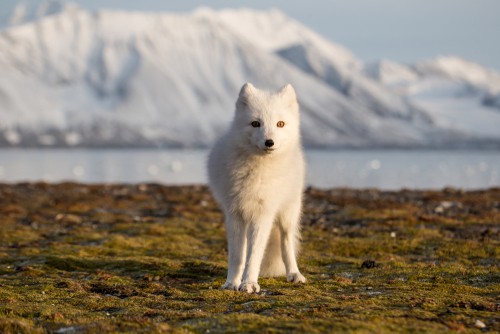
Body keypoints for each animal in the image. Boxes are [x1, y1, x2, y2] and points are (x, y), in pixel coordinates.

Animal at [206, 83, 304, 292]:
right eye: (255, 124)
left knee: (286, 243)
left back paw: (294, 273)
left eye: (280, 124)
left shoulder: (263, 215)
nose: (269, 142)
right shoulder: (234, 214)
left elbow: (254, 255)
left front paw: (249, 283)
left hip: (288, 213)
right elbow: (237, 256)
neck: (256, 173)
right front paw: (232, 283)